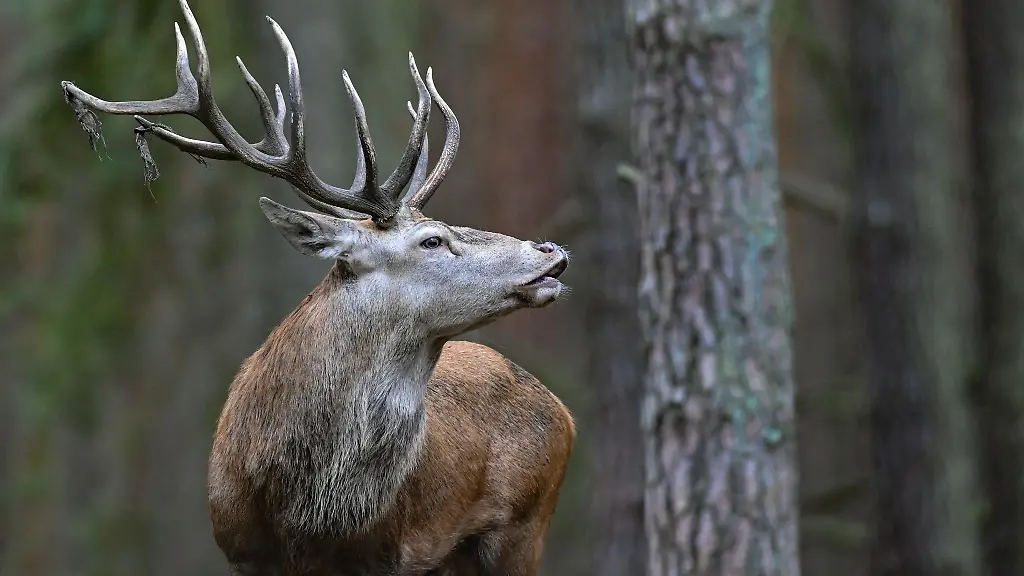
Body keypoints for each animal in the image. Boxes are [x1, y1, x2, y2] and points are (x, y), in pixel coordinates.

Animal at [59, 1, 575, 574]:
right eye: (432, 239)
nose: (550, 251)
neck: (305, 516)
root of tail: (566, 414)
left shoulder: (390, 554)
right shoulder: (239, 549)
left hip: (523, 526)